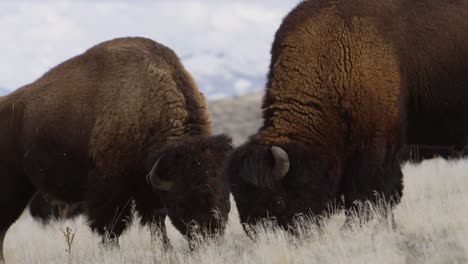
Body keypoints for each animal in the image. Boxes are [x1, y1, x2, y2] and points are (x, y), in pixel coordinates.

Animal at [0, 37, 234, 262]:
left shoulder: (146, 184)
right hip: (13, 187)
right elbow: (111, 225)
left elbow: (155, 221)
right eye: (183, 203)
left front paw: (165, 250)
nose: (209, 239)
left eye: (225, 199)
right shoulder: (110, 184)